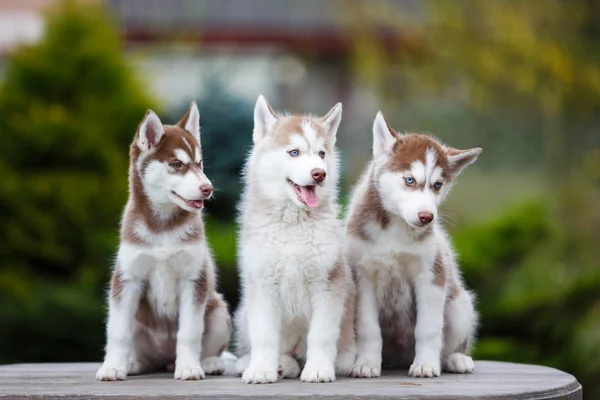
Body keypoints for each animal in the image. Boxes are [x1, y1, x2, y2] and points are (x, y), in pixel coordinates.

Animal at [96, 102, 232, 382]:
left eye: (200, 163)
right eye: (177, 164)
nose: (208, 188)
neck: (163, 227)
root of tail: (165, 359)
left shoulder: (194, 279)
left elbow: (189, 332)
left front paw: (189, 367)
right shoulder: (127, 279)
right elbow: (117, 332)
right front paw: (112, 367)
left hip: (217, 309)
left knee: (210, 345)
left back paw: (208, 362)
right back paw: (134, 363)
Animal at [233, 94, 356, 384]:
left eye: (321, 154)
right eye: (294, 152)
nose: (319, 173)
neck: (293, 224)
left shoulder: (328, 284)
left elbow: (321, 336)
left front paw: (319, 369)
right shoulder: (262, 284)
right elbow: (264, 336)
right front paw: (260, 369)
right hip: (243, 312)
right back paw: (267, 364)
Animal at [346, 111, 478, 378]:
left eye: (437, 185)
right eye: (409, 180)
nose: (427, 217)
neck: (395, 228)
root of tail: (400, 358)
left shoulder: (431, 276)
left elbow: (428, 329)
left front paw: (426, 364)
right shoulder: (364, 277)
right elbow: (368, 328)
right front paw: (366, 363)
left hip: (460, 306)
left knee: (452, 343)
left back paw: (455, 359)